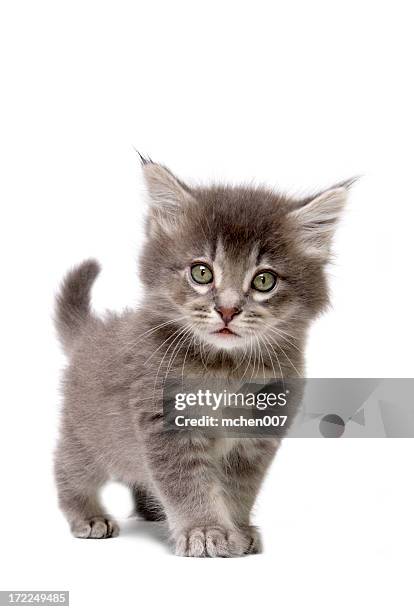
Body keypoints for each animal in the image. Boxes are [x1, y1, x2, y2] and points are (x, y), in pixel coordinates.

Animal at [54, 158, 352, 556]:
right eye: (201, 272)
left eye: (264, 280)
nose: (227, 310)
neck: (226, 369)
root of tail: (88, 333)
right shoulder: (166, 422)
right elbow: (187, 484)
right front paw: (205, 531)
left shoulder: (258, 435)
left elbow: (238, 490)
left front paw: (237, 530)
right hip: (87, 436)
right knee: (68, 469)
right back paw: (88, 515)